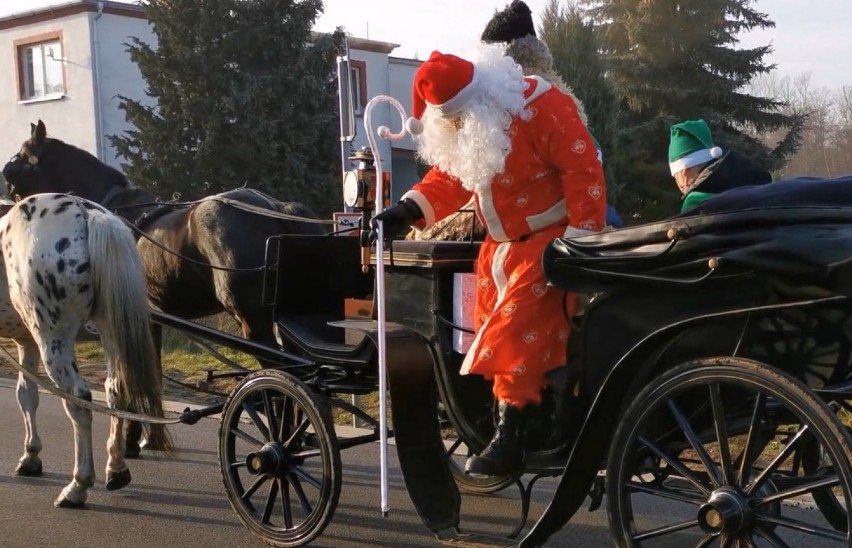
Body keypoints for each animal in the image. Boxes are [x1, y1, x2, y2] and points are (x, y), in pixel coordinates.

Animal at [0, 195, 171, 508]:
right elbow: (26, 396)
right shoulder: (26, 341)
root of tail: (86, 212)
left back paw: (78, 485)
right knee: (116, 390)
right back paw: (116, 467)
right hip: (109, 328)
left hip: (54, 340)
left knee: (78, 401)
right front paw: (31, 456)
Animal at [2, 122, 330, 456]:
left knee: (283, 380)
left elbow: (137, 377)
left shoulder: (136, 319)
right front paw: (146, 436)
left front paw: (131, 439)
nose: (7, 190)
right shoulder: (150, 320)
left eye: (22, 155)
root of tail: (274, 207)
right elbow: (152, 375)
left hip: (255, 323)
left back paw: (281, 440)